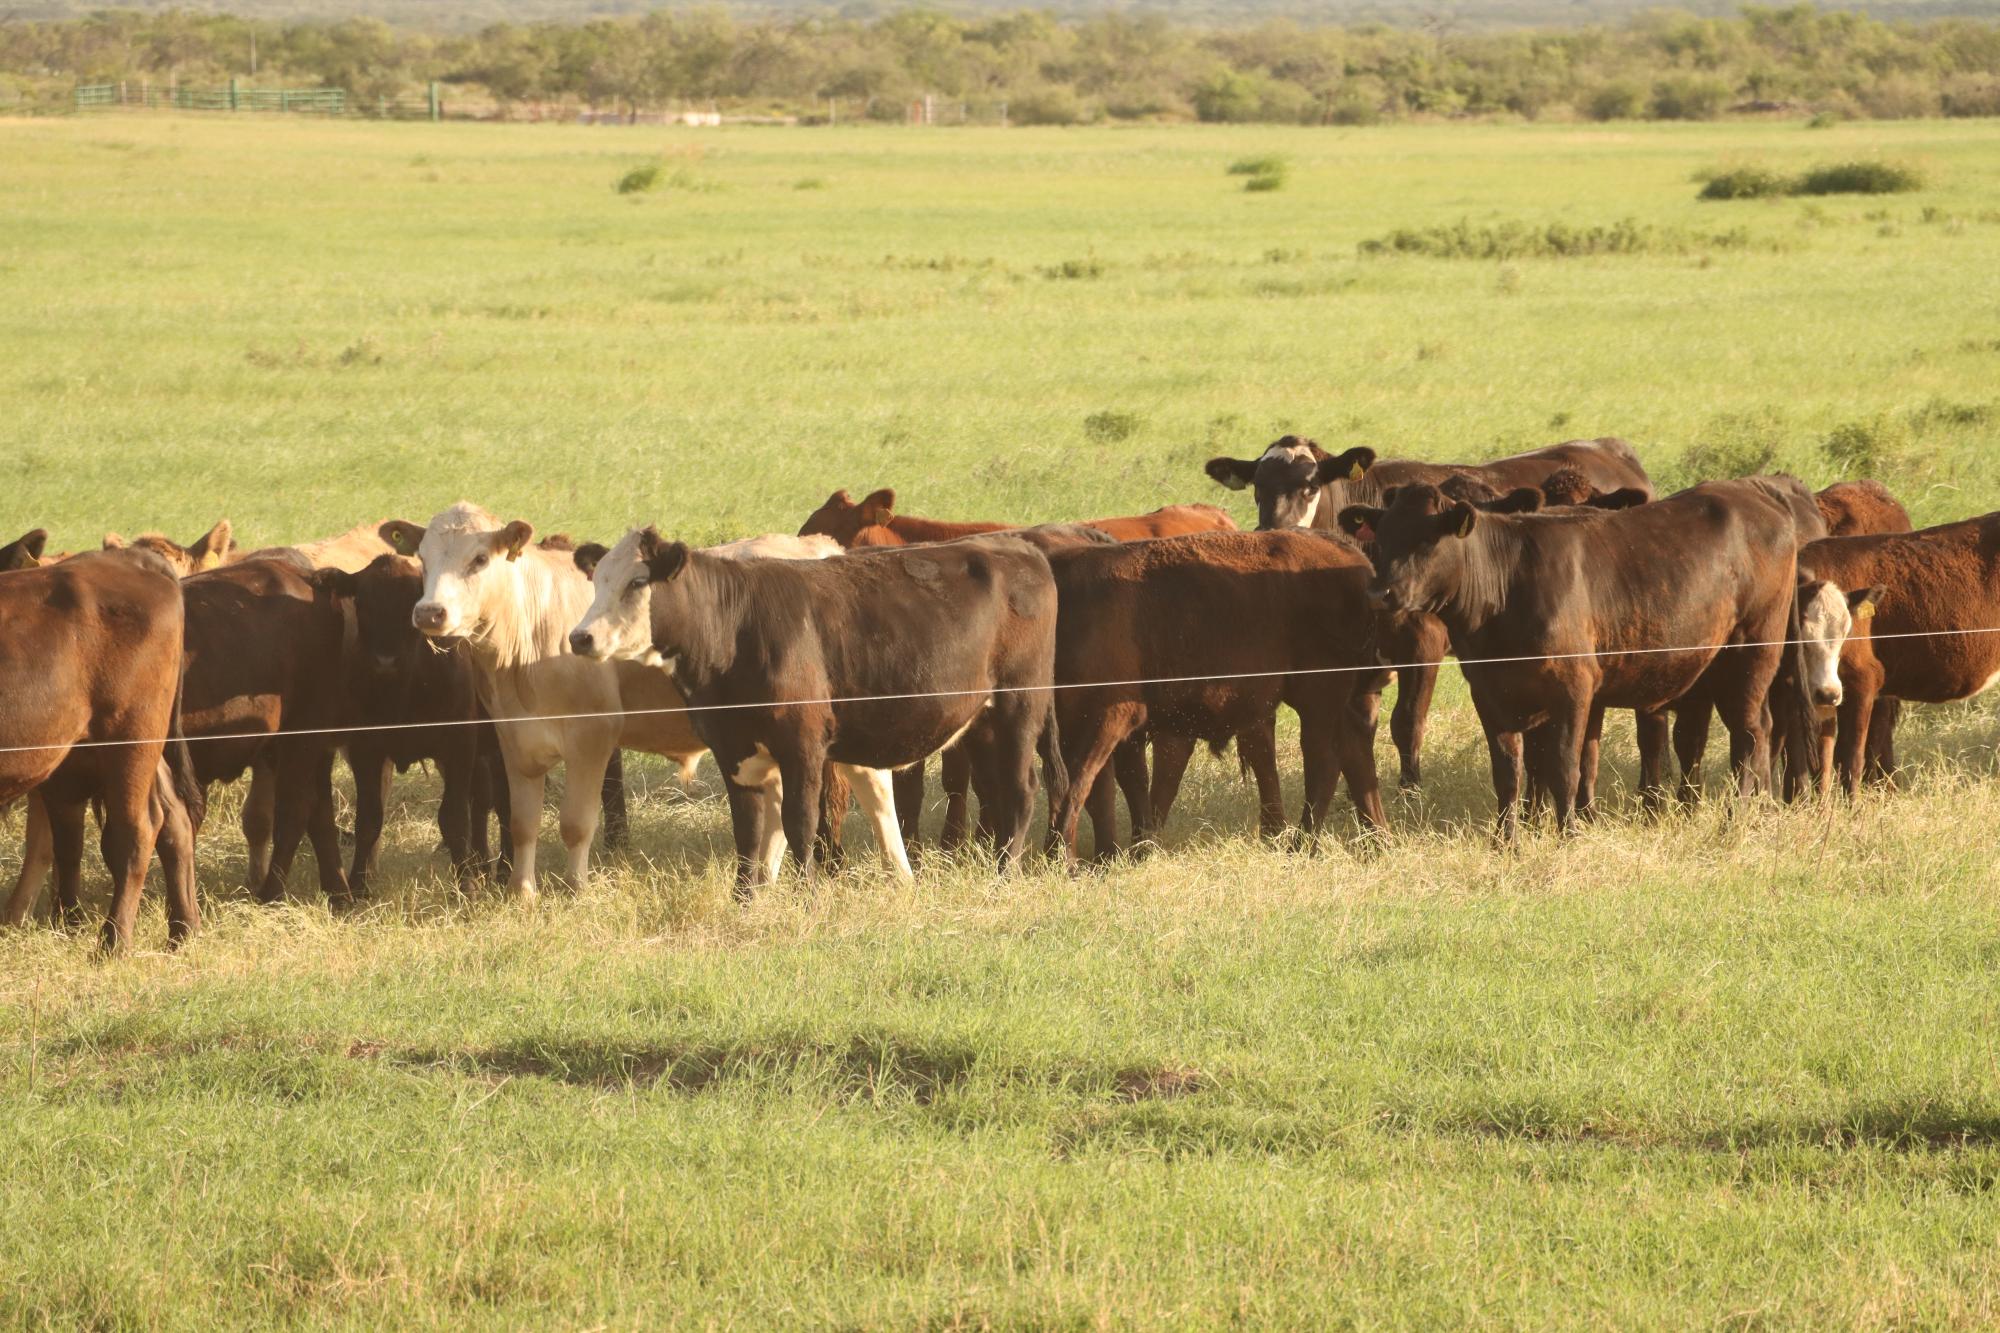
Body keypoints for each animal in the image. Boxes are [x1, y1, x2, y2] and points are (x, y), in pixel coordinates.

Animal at [0, 548, 201, 944]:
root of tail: (128, 558)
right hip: (105, 749)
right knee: (167, 820)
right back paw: (181, 933)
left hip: (130, 738)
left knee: (135, 831)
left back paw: (113, 942)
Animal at [568, 524, 1064, 888]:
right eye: (597, 580)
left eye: (637, 582)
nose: (579, 637)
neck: (737, 627)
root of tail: (1017, 546)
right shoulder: (734, 749)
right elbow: (748, 833)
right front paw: (744, 902)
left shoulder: (802, 746)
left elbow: (800, 824)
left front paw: (807, 896)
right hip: (981, 719)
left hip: (1020, 706)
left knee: (1021, 789)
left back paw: (1004, 875)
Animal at [1040, 524, 1384, 856]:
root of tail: (1351, 557)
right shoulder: (1120, 733)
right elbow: (1123, 787)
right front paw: (1127, 852)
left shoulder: (1105, 720)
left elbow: (1077, 785)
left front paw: (1060, 859)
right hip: (1340, 701)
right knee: (1355, 752)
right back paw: (1376, 842)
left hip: (1319, 697)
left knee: (1324, 759)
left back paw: (1303, 846)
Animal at [1344, 478, 1800, 832]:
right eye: (1381, 538)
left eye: (1426, 540)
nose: (1380, 593)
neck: (1507, 587)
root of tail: (1760, 497)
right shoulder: (1490, 694)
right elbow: (1509, 772)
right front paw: (1505, 841)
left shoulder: (1573, 689)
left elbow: (1565, 766)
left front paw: (1568, 835)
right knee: (1715, 736)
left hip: (1752, 655)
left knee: (1750, 733)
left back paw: (1735, 818)